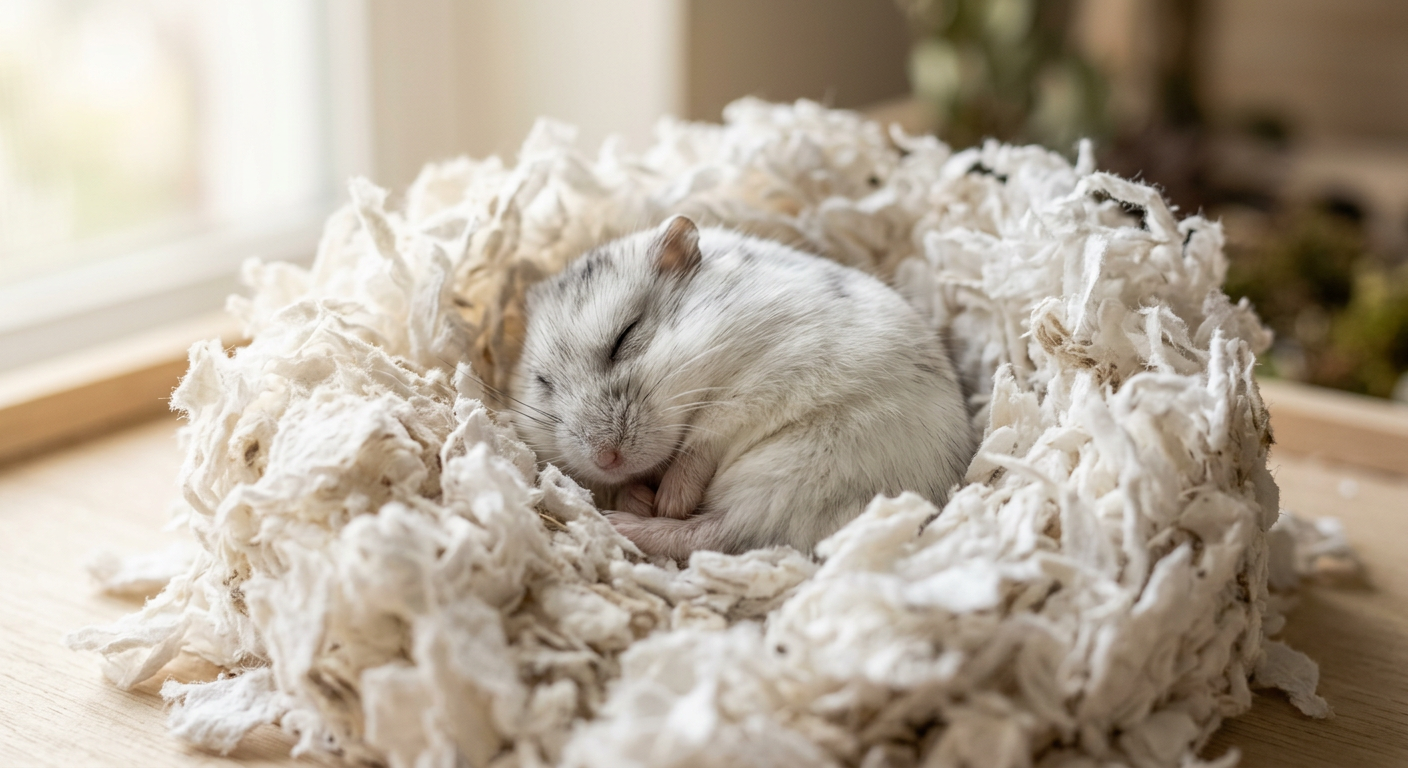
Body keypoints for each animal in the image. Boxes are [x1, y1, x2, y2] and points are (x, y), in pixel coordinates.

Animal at [508, 215, 974, 559]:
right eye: (543, 382)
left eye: (626, 336)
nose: (607, 459)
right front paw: (634, 493)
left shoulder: (759, 383)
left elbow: (703, 444)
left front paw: (669, 499)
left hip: (803, 470)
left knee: (719, 531)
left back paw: (625, 522)